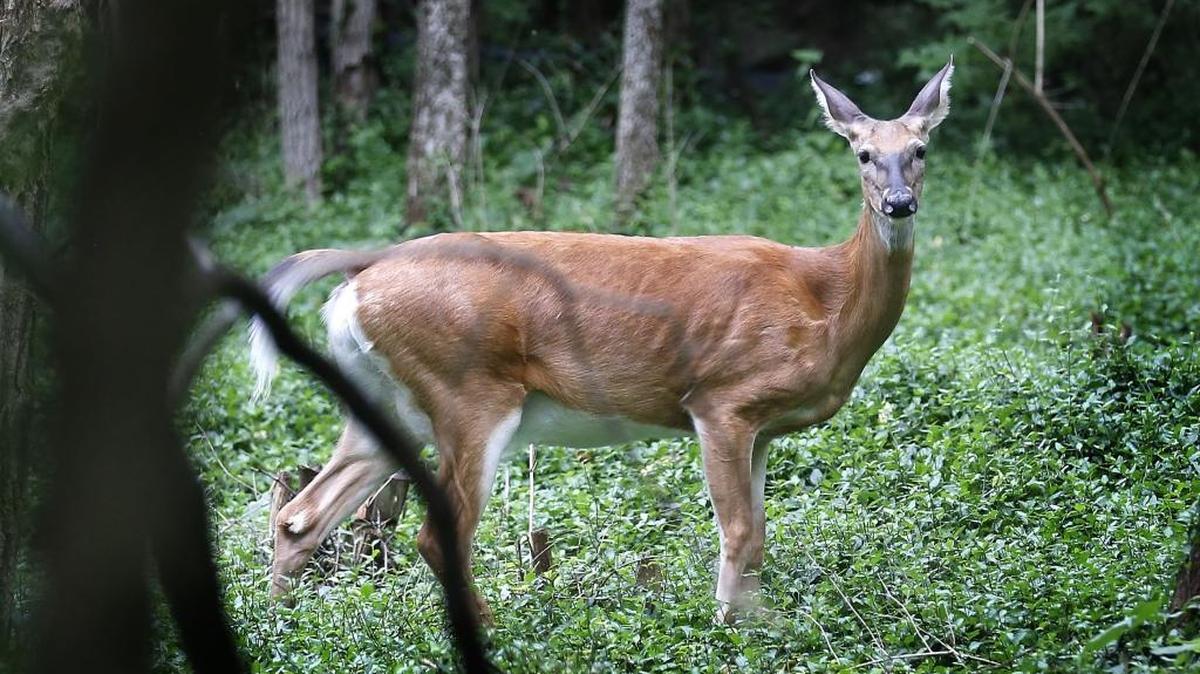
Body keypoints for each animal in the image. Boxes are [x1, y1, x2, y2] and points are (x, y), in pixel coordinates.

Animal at [248, 59, 953, 624]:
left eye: (921, 148)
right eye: (863, 153)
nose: (898, 203)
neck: (826, 301)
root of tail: (362, 271)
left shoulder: (763, 427)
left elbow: (758, 534)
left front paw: (753, 622)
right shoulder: (721, 399)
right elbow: (740, 533)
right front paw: (734, 629)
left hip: (384, 401)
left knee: (300, 515)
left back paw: (279, 623)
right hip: (469, 391)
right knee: (435, 533)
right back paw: (492, 630)